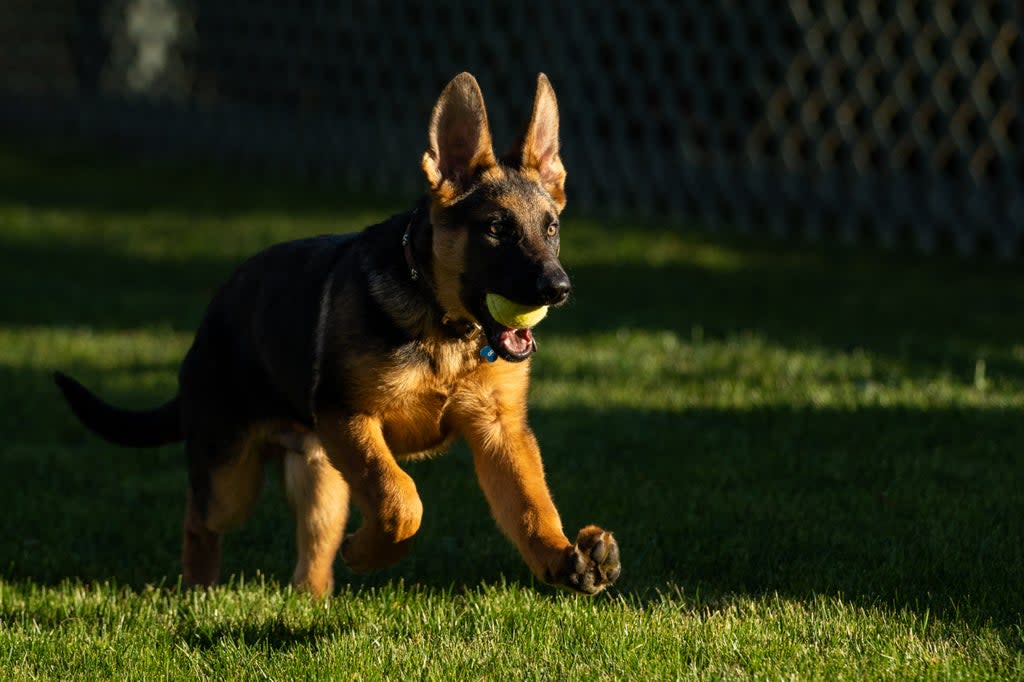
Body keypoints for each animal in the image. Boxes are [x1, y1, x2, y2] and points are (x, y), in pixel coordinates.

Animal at [56, 73, 618, 593]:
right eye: (497, 228)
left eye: (551, 228)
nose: (558, 288)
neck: (444, 328)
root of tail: (210, 320)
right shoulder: (349, 416)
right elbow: (401, 497)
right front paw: (369, 553)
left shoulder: (499, 432)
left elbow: (531, 505)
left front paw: (564, 557)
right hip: (232, 475)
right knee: (200, 517)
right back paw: (198, 589)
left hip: (321, 477)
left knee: (312, 551)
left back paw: (312, 599)